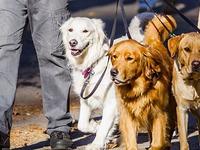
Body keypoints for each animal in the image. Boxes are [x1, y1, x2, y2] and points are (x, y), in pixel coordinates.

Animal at [59, 17, 119, 149]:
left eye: (85, 31)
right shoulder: (86, 99)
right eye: (70, 30)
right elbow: (82, 124)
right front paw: (95, 127)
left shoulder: (111, 103)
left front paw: (96, 144)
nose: (72, 42)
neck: (92, 64)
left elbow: (104, 127)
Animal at [107, 14, 177, 150]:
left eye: (129, 58)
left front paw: (156, 145)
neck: (138, 88)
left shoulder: (159, 114)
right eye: (114, 56)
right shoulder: (128, 116)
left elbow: (158, 142)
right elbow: (131, 141)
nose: (113, 72)